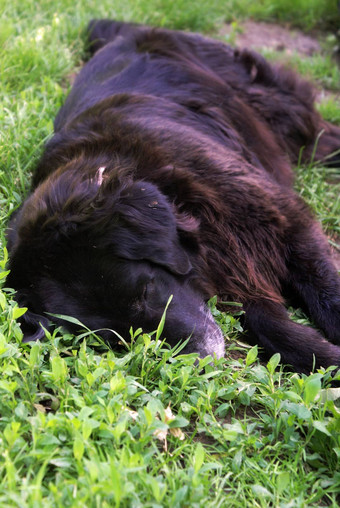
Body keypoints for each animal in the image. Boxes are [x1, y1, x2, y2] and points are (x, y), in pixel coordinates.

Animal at [5, 19, 340, 374]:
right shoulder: (236, 266)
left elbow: (325, 290)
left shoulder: (283, 220)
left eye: (144, 290)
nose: (204, 359)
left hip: (281, 112)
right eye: (115, 338)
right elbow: (271, 326)